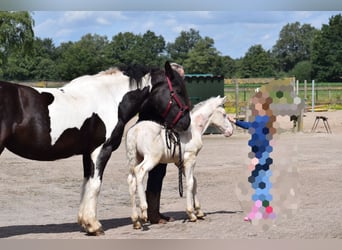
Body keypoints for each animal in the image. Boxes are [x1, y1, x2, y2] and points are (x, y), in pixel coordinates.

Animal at [0, 61, 190, 234]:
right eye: (178, 91)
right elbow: (96, 184)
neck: (111, 98)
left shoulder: (87, 152)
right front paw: (94, 225)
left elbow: (86, 184)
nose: (186, 123)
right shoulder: (101, 150)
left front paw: (85, 223)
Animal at [127, 95, 234, 229]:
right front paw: (191, 214)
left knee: (131, 181)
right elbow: (190, 182)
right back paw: (143, 210)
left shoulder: (180, 163)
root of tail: (134, 131)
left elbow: (194, 181)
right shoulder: (190, 159)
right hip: (151, 158)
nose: (230, 131)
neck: (193, 130)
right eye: (224, 114)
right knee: (140, 172)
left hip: (136, 158)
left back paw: (135, 220)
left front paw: (199, 211)